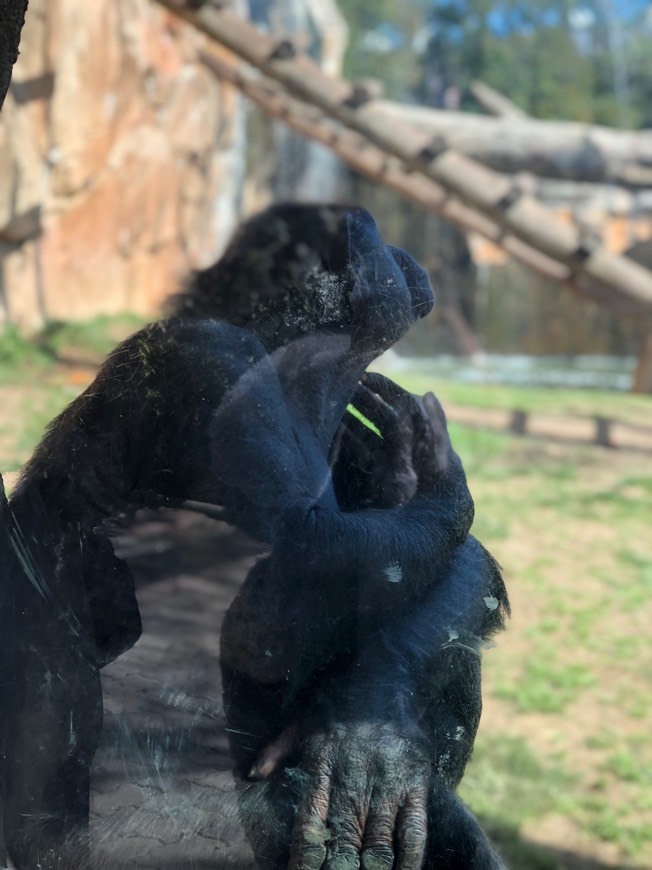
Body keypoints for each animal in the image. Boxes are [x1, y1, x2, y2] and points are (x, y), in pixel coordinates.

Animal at [0, 206, 506, 870]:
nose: (397, 250)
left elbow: (454, 565)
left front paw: (369, 738)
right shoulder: (214, 365)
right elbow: (296, 573)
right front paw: (439, 475)